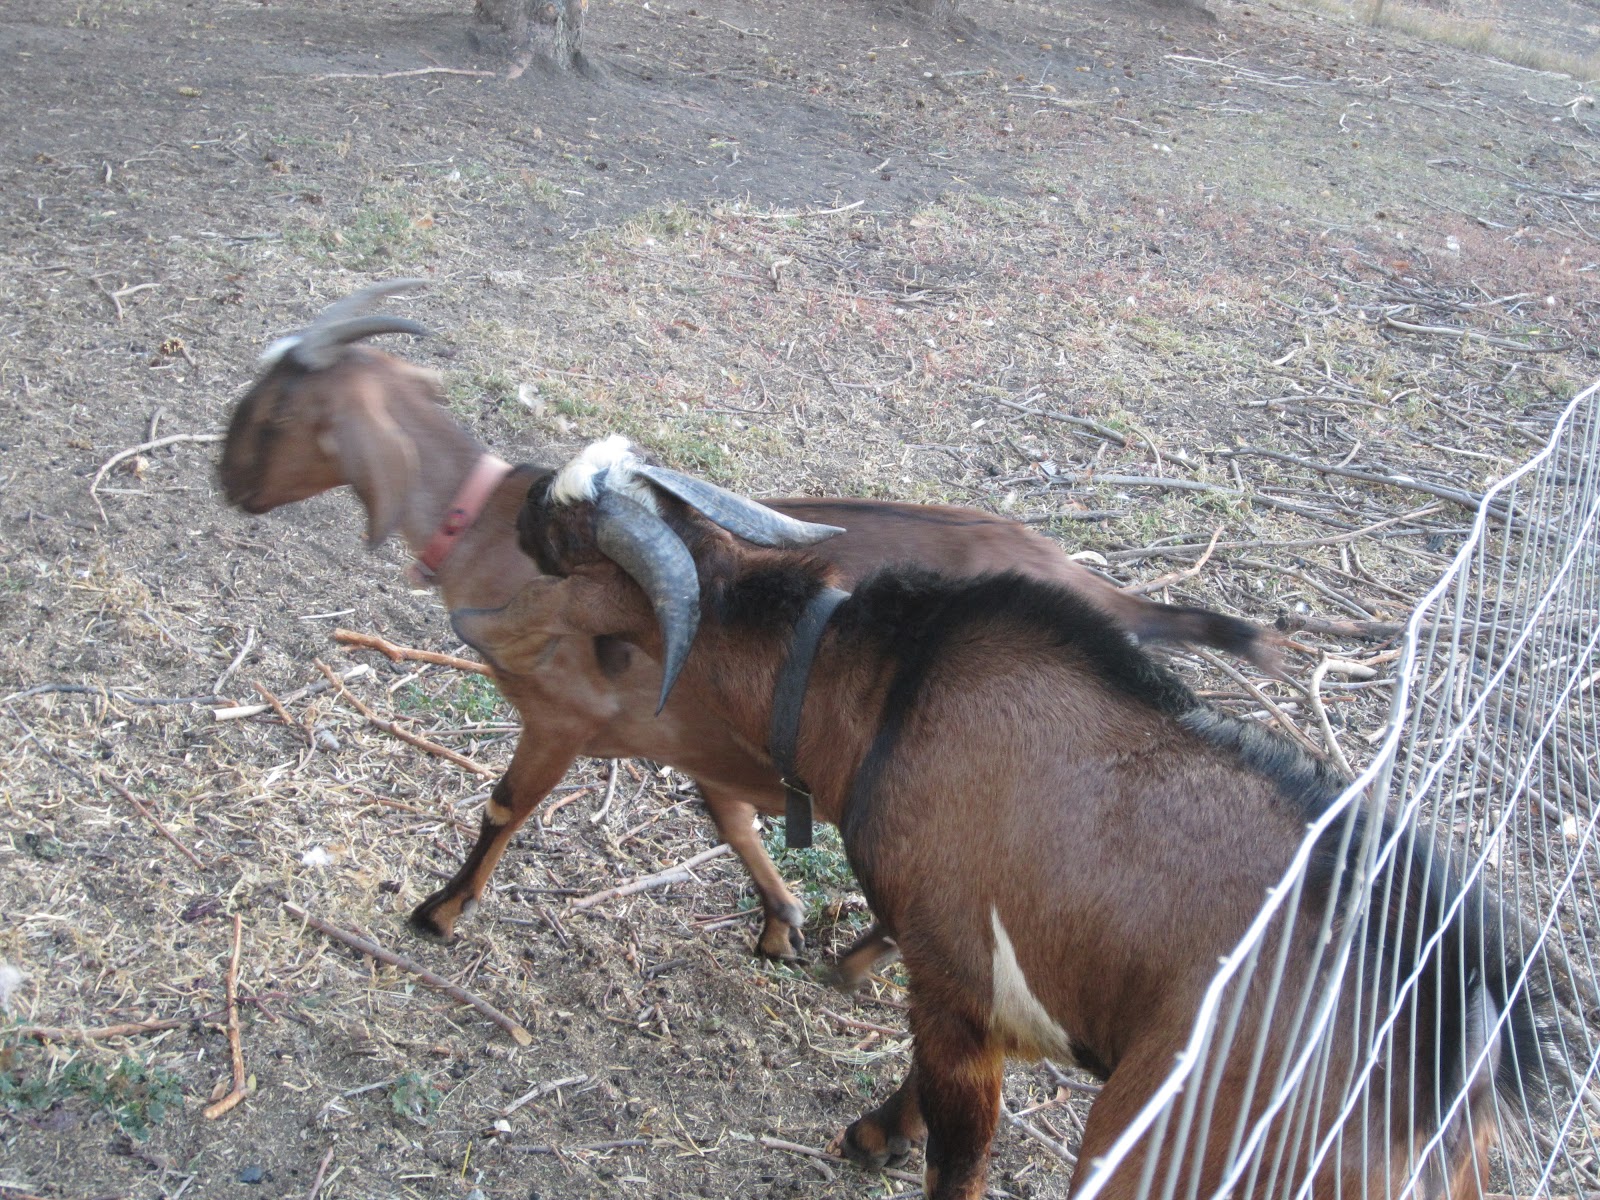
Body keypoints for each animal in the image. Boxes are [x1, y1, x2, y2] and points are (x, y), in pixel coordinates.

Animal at [219, 280, 1280, 982]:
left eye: (270, 413)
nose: (227, 485)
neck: (475, 520)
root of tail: (1097, 594)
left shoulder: (561, 717)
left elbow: (503, 808)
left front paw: (439, 912)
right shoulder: (698, 738)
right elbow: (728, 820)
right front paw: (781, 922)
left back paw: (869, 964)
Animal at [482, 434, 1556, 1200]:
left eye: (569, 536)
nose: (523, 487)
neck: (880, 688)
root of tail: (1445, 1069)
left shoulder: (958, 969)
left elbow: (957, 1154)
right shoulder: (976, 988)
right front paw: (870, 1129)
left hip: (1144, 1151)